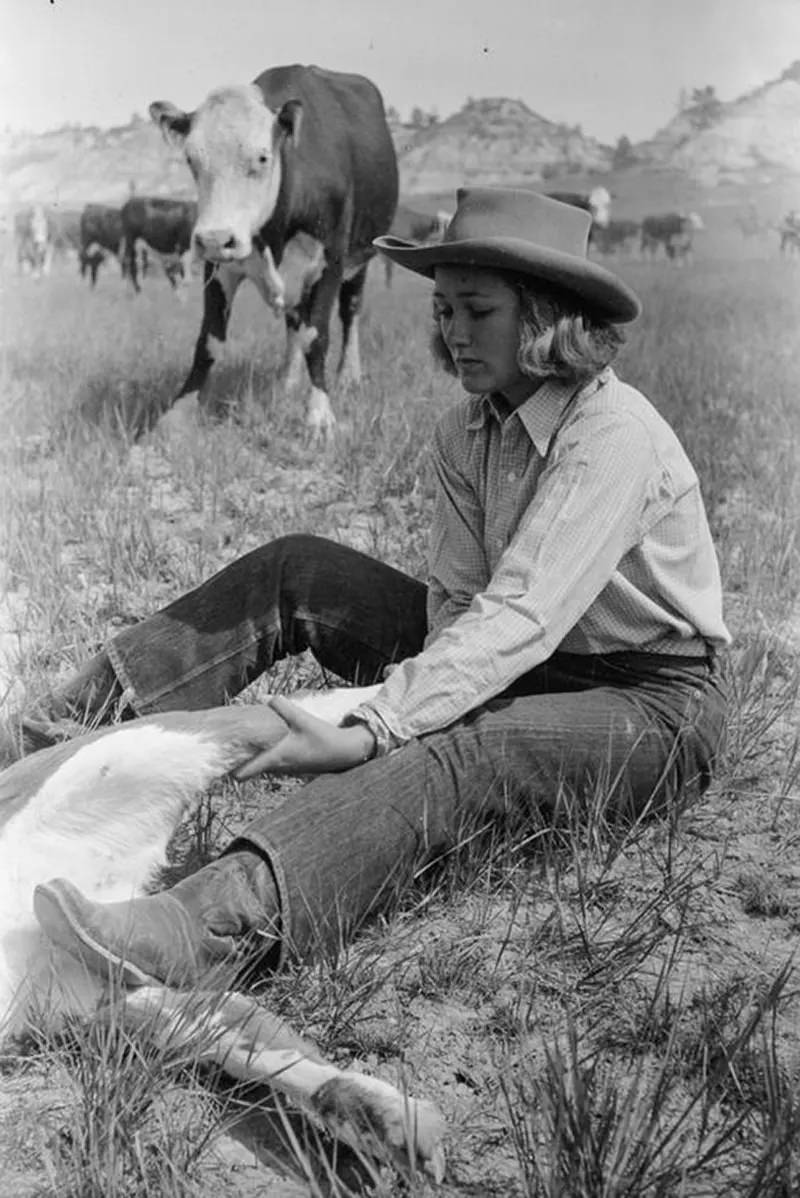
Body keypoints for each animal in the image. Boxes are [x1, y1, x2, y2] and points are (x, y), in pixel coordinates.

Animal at [148, 63, 397, 443]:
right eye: (191, 159)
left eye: (262, 157)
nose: (215, 238)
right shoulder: (219, 268)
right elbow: (209, 341)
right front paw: (178, 414)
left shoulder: (331, 262)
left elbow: (317, 337)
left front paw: (319, 415)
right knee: (295, 321)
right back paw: (287, 381)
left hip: (361, 257)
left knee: (350, 311)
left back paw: (349, 375)